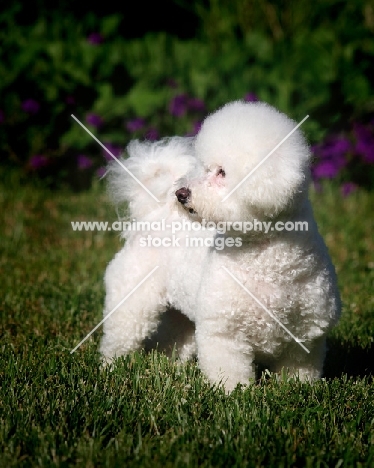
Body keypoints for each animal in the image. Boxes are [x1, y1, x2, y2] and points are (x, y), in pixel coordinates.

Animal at [101, 100, 340, 394]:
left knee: (174, 340)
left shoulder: (306, 335)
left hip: (182, 313)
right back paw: (110, 366)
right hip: (133, 299)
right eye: (205, 168)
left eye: (221, 172)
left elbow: (299, 372)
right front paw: (233, 393)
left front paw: (295, 390)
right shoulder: (224, 332)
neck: (266, 260)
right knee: (120, 335)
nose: (180, 194)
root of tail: (153, 212)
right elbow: (229, 371)